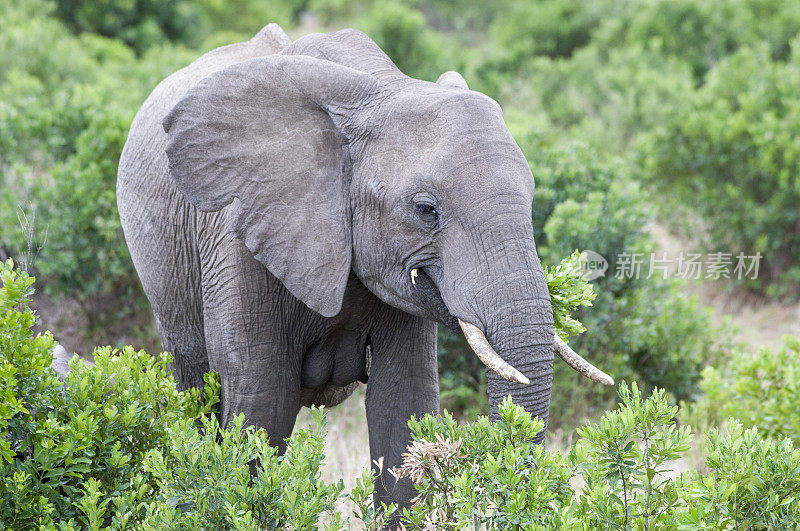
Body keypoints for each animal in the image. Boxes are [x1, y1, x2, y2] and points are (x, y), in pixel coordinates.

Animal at [115, 22, 608, 510]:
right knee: (197, 395)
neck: (381, 89)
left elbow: (404, 409)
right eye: (426, 210)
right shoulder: (239, 238)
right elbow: (259, 413)